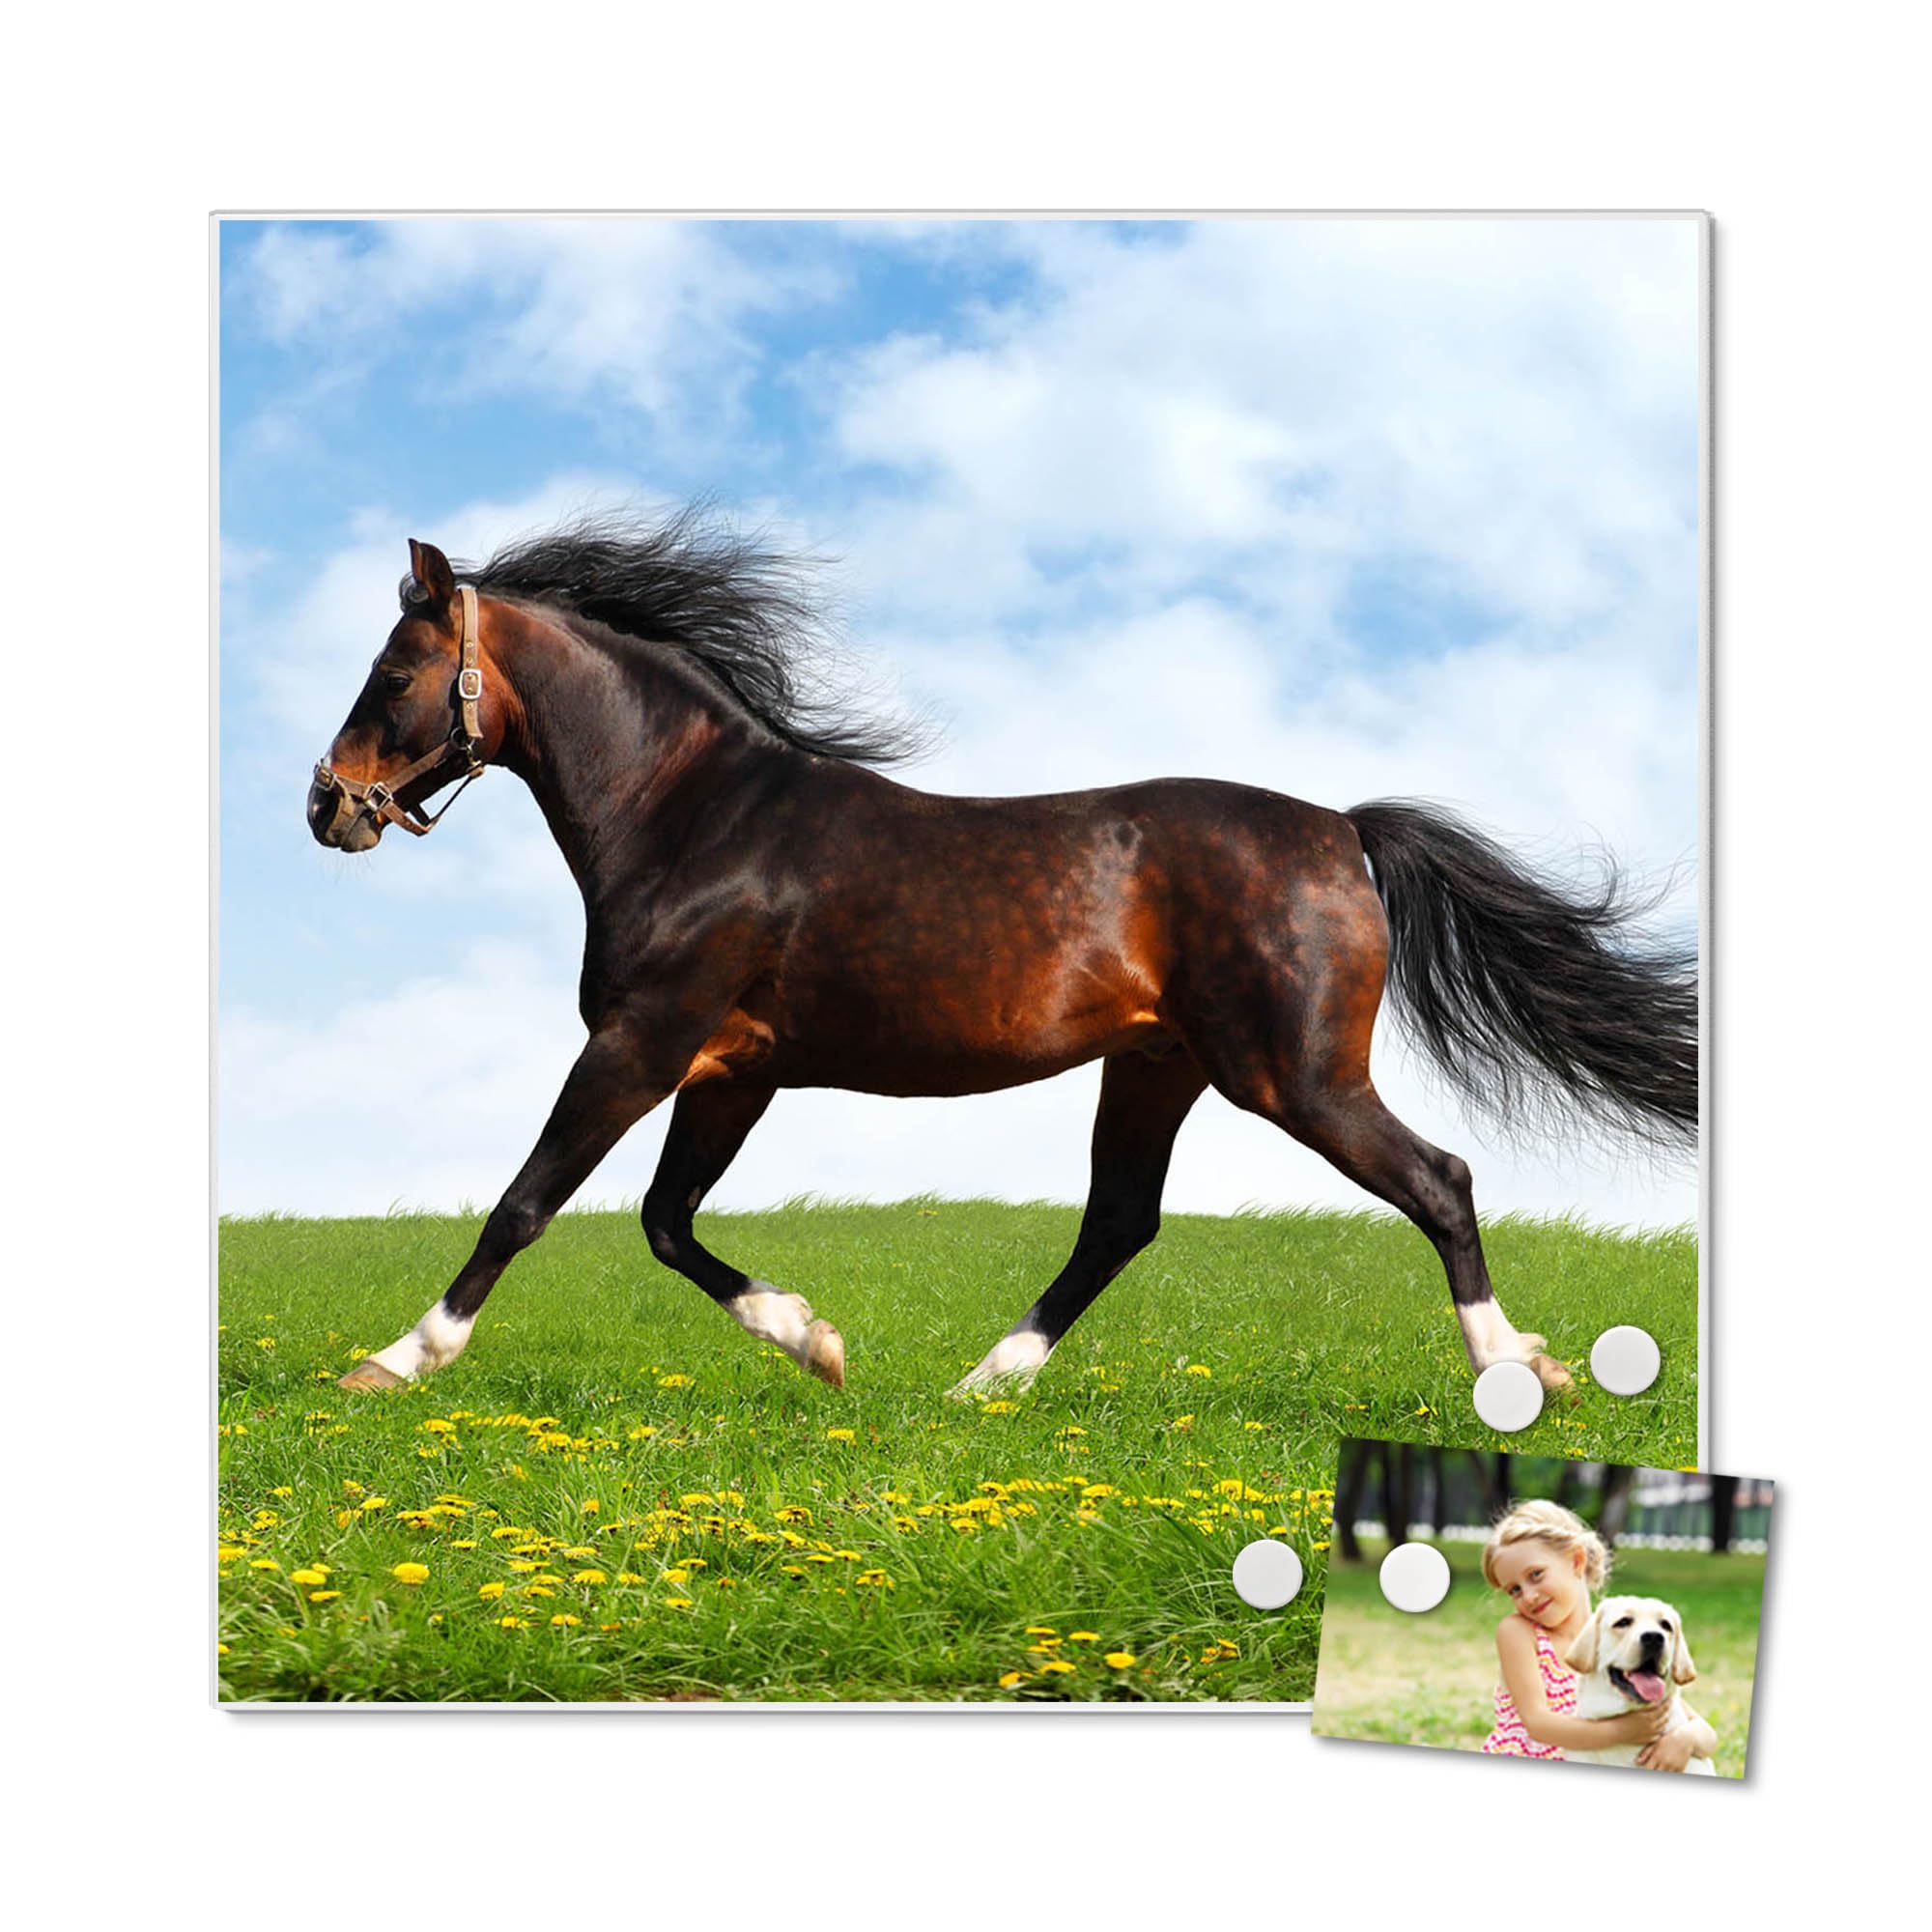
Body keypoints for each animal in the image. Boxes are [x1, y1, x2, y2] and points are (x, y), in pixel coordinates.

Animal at [307, 509, 1696, 1399]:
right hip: (1159, 1067)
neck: (695, 817)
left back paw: (1519, 1373)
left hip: (1292, 1075)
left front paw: (391, 1362)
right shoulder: (730, 1071)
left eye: (396, 672)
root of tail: (1342, 831)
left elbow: (528, 1200)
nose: (326, 806)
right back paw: (981, 1384)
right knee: (1120, 1222)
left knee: (1438, 1181)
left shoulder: (641, 1043)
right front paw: (817, 1343)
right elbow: (662, 1221)